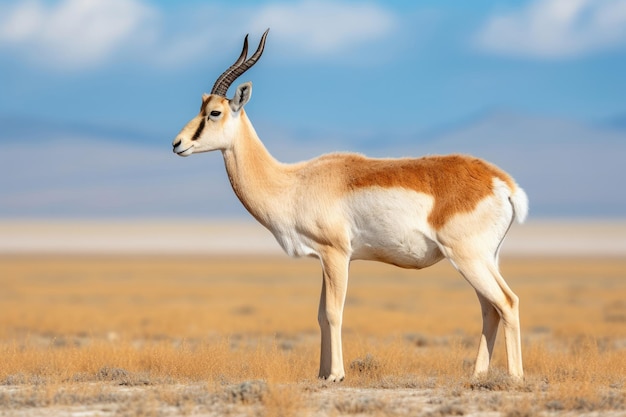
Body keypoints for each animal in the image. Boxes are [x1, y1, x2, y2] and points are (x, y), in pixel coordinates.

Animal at [171, 30, 528, 380]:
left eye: (214, 112)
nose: (177, 144)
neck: (294, 183)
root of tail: (501, 183)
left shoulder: (337, 255)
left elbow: (333, 312)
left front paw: (336, 375)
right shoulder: (324, 258)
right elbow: (318, 314)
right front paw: (321, 374)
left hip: (468, 257)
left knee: (507, 302)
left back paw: (514, 377)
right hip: (486, 259)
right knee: (490, 308)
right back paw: (477, 376)